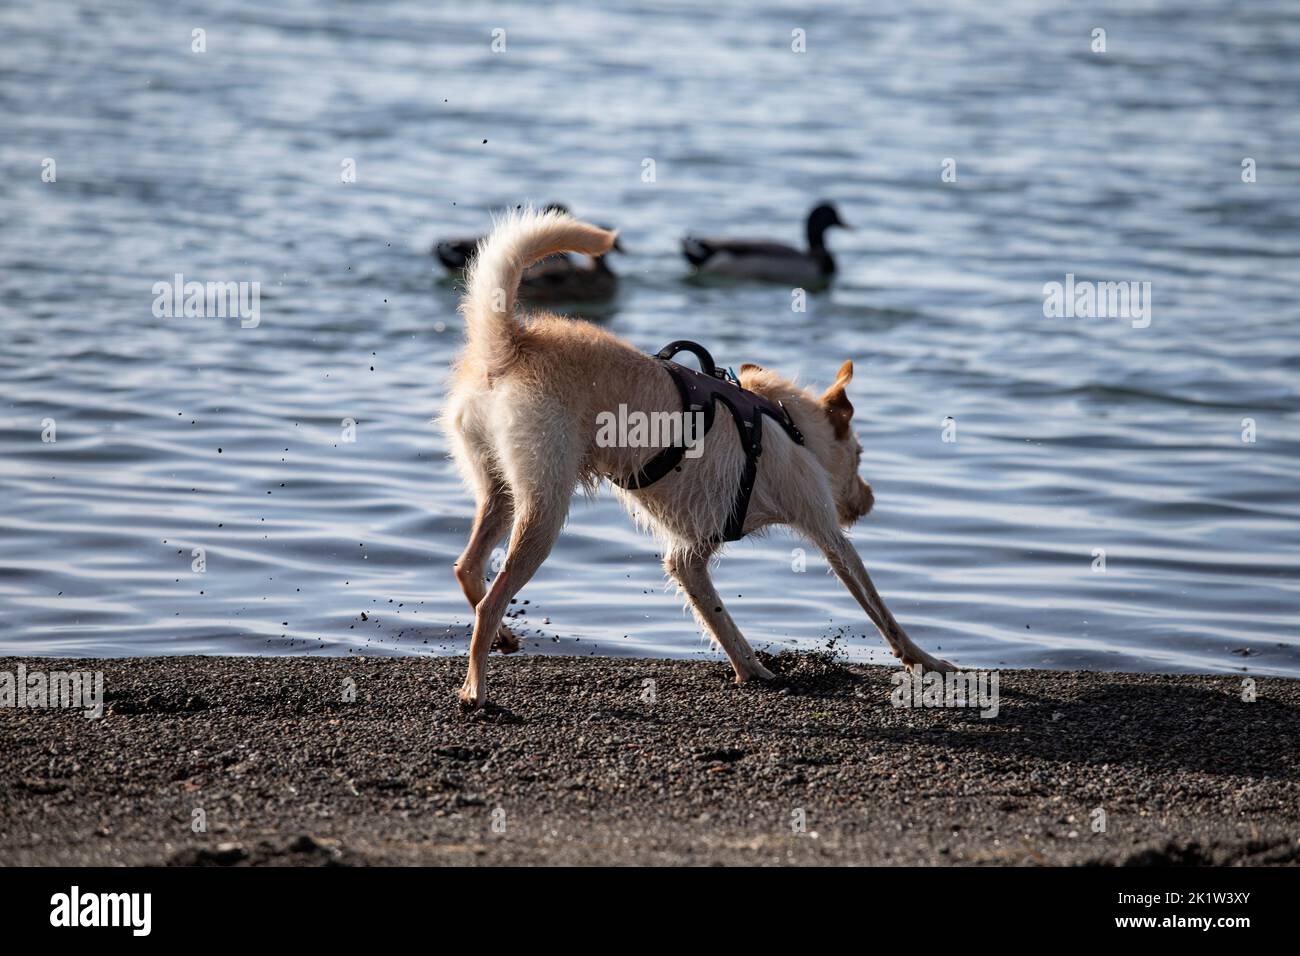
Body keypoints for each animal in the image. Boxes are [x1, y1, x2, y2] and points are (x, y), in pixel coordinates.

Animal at [447, 205, 956, 707]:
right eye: (859, 454)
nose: (870, 499)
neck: (785, 421)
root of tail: (512, 343)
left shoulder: (688, 557)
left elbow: (719, 618)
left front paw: (751, 669)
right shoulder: (826, 531)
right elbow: (878, 607)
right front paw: (924, 660)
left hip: (501, 489)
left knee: (468, 567)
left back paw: (502, 637)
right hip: (544, 508)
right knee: (491, 600)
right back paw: (476, 687)